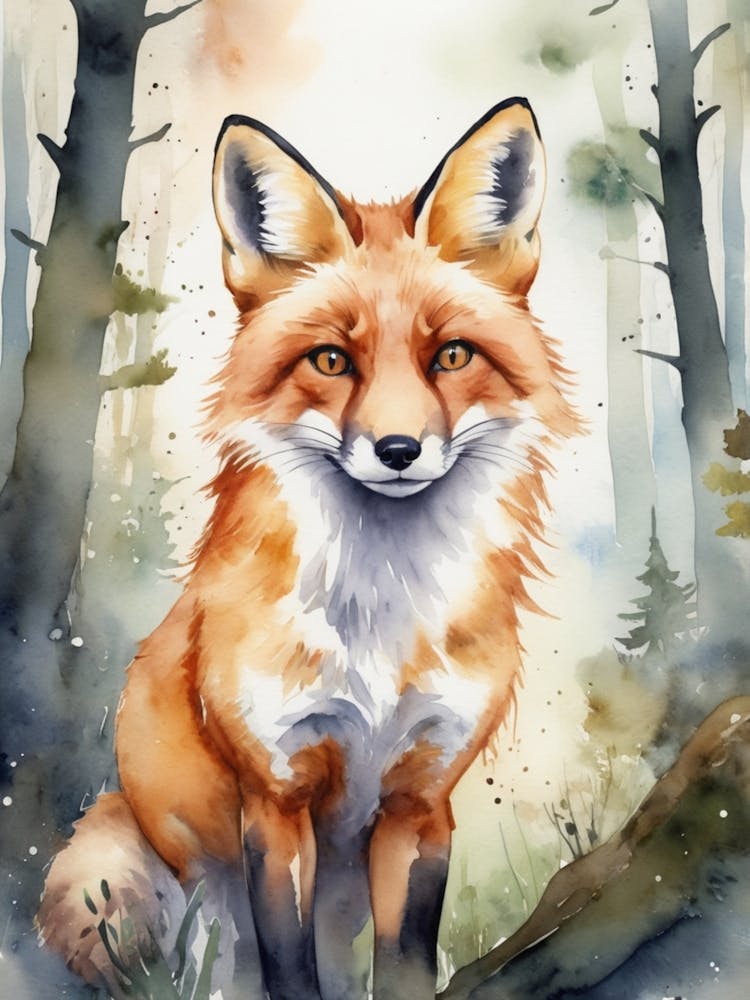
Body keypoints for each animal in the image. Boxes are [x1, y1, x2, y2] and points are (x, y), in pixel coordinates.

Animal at [38, 98, 578, 1000]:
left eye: (451, 355)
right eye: (331, 359)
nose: (398, 450)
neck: (380, 621)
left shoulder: (421, 804)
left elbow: (404, 968)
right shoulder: (276, 800)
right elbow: (289, 972)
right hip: (146, 888)